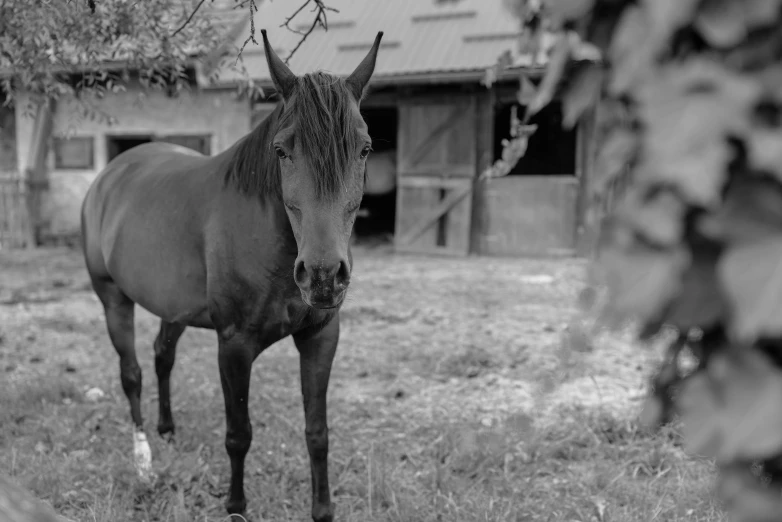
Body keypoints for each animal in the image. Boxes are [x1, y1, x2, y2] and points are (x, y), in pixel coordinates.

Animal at [79, 29, 382, 520]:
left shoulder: (320, 338)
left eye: (365, 148)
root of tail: (110, 175)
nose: (322, 276)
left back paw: (167, 429)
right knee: (132, 374)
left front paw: (322, 510)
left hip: (173, 308)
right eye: (281, 150)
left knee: (162, 356)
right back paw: (143, 459)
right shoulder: (234, 346)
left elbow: (317, 434)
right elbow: (239, 435)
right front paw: (236, 506)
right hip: (113, 300)